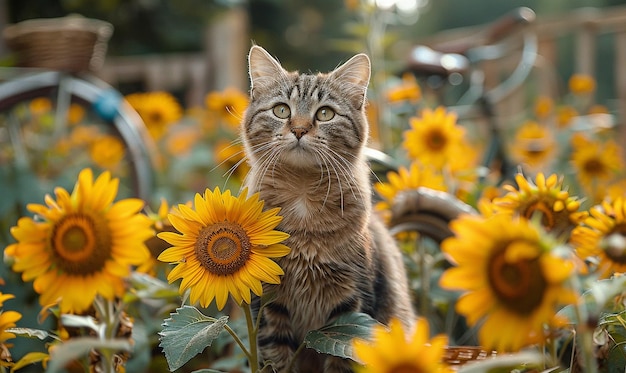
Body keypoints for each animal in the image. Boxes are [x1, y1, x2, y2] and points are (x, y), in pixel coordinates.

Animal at [240, 45, 414, 370]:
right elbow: (277, 358)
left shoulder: (350, 307)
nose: (299, 130)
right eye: (282, 110)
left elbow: (342, 360)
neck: (302, 198)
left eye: (325, 113)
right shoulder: (269, 304)